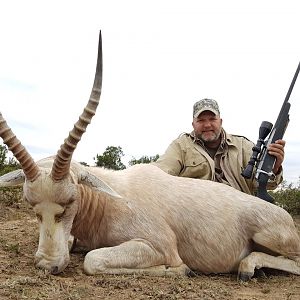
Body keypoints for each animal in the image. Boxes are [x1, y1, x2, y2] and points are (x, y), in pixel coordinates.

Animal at [0, 31, 300, 280]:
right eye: (31, 205)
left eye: (70, 201)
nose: (47, 265)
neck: (110, 200)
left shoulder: (159, 246)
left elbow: (92, 260)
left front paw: (180, 270)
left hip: (268, 235)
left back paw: (248, 267)